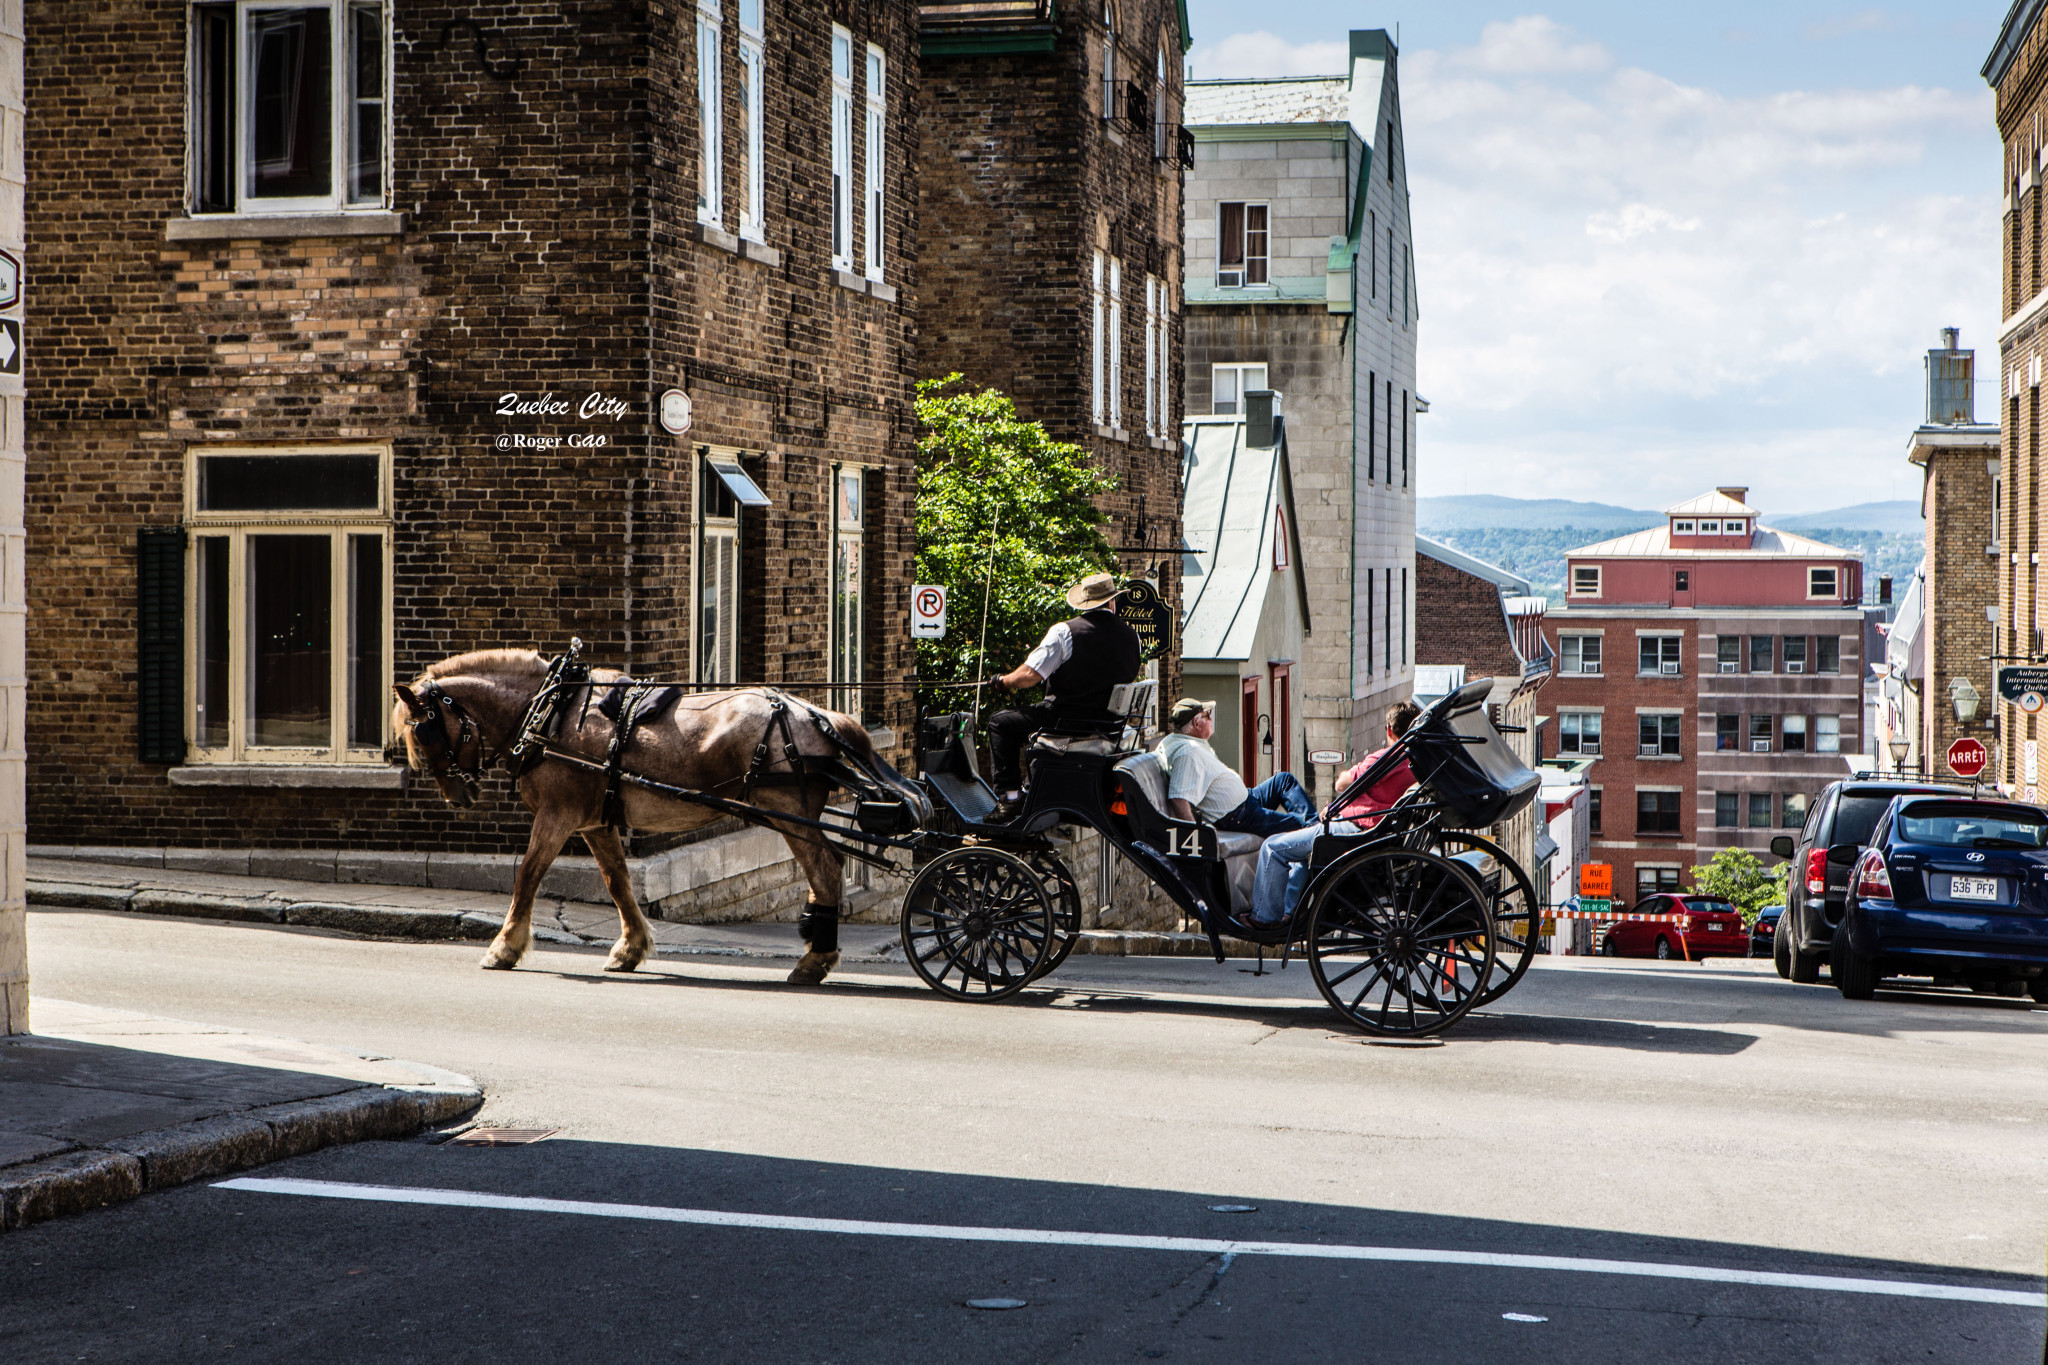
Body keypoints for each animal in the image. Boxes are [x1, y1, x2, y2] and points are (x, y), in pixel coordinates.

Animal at [391, 650, 921, 982]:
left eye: (424, 732)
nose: (456, 795)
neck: (549, 713)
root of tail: (817, 714)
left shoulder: (558, 814)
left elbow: (529, 875)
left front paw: (504, 946)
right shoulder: (596, 821)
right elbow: (618, 883)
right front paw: (630, 947)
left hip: (788, 812)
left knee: (826, 872)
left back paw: (816, 959)